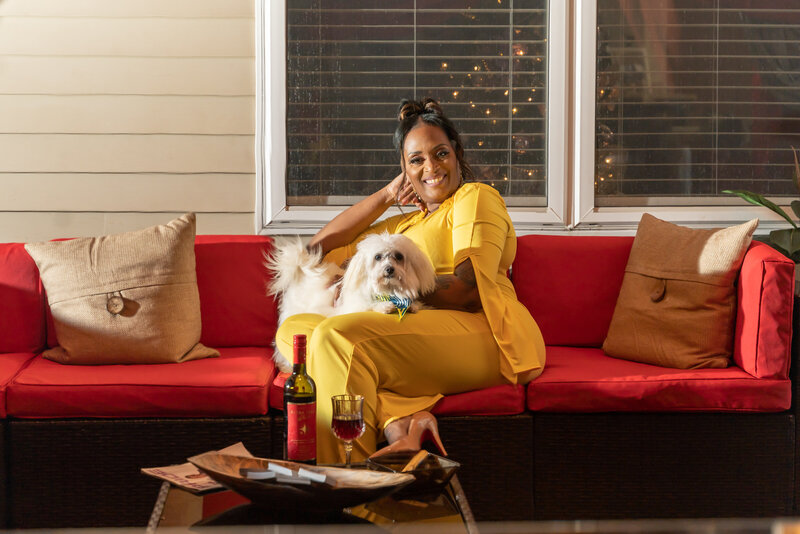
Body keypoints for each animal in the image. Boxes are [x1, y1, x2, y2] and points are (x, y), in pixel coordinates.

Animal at [264, 232, 438, 374]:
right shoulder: (353, 306)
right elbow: (370, 304)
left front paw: (413, 305)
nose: (389, 269)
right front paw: (384, 306)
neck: (388, 291)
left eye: (399, 256)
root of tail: (301, 271)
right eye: (378, 257)